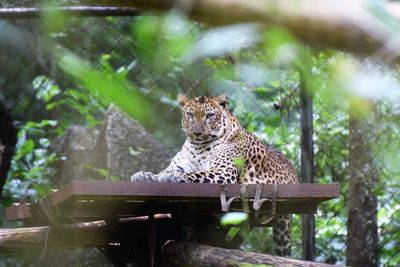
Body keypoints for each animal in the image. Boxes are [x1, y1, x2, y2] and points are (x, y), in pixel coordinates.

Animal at [131, 94, 296, 258]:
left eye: (209, 116)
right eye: (190, 114)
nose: (197, 133)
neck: (197, 147)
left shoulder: (222, 172)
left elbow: (195, 174)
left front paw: (173, 178)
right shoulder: (177, 165)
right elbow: (163, 172)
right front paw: (143, 175)